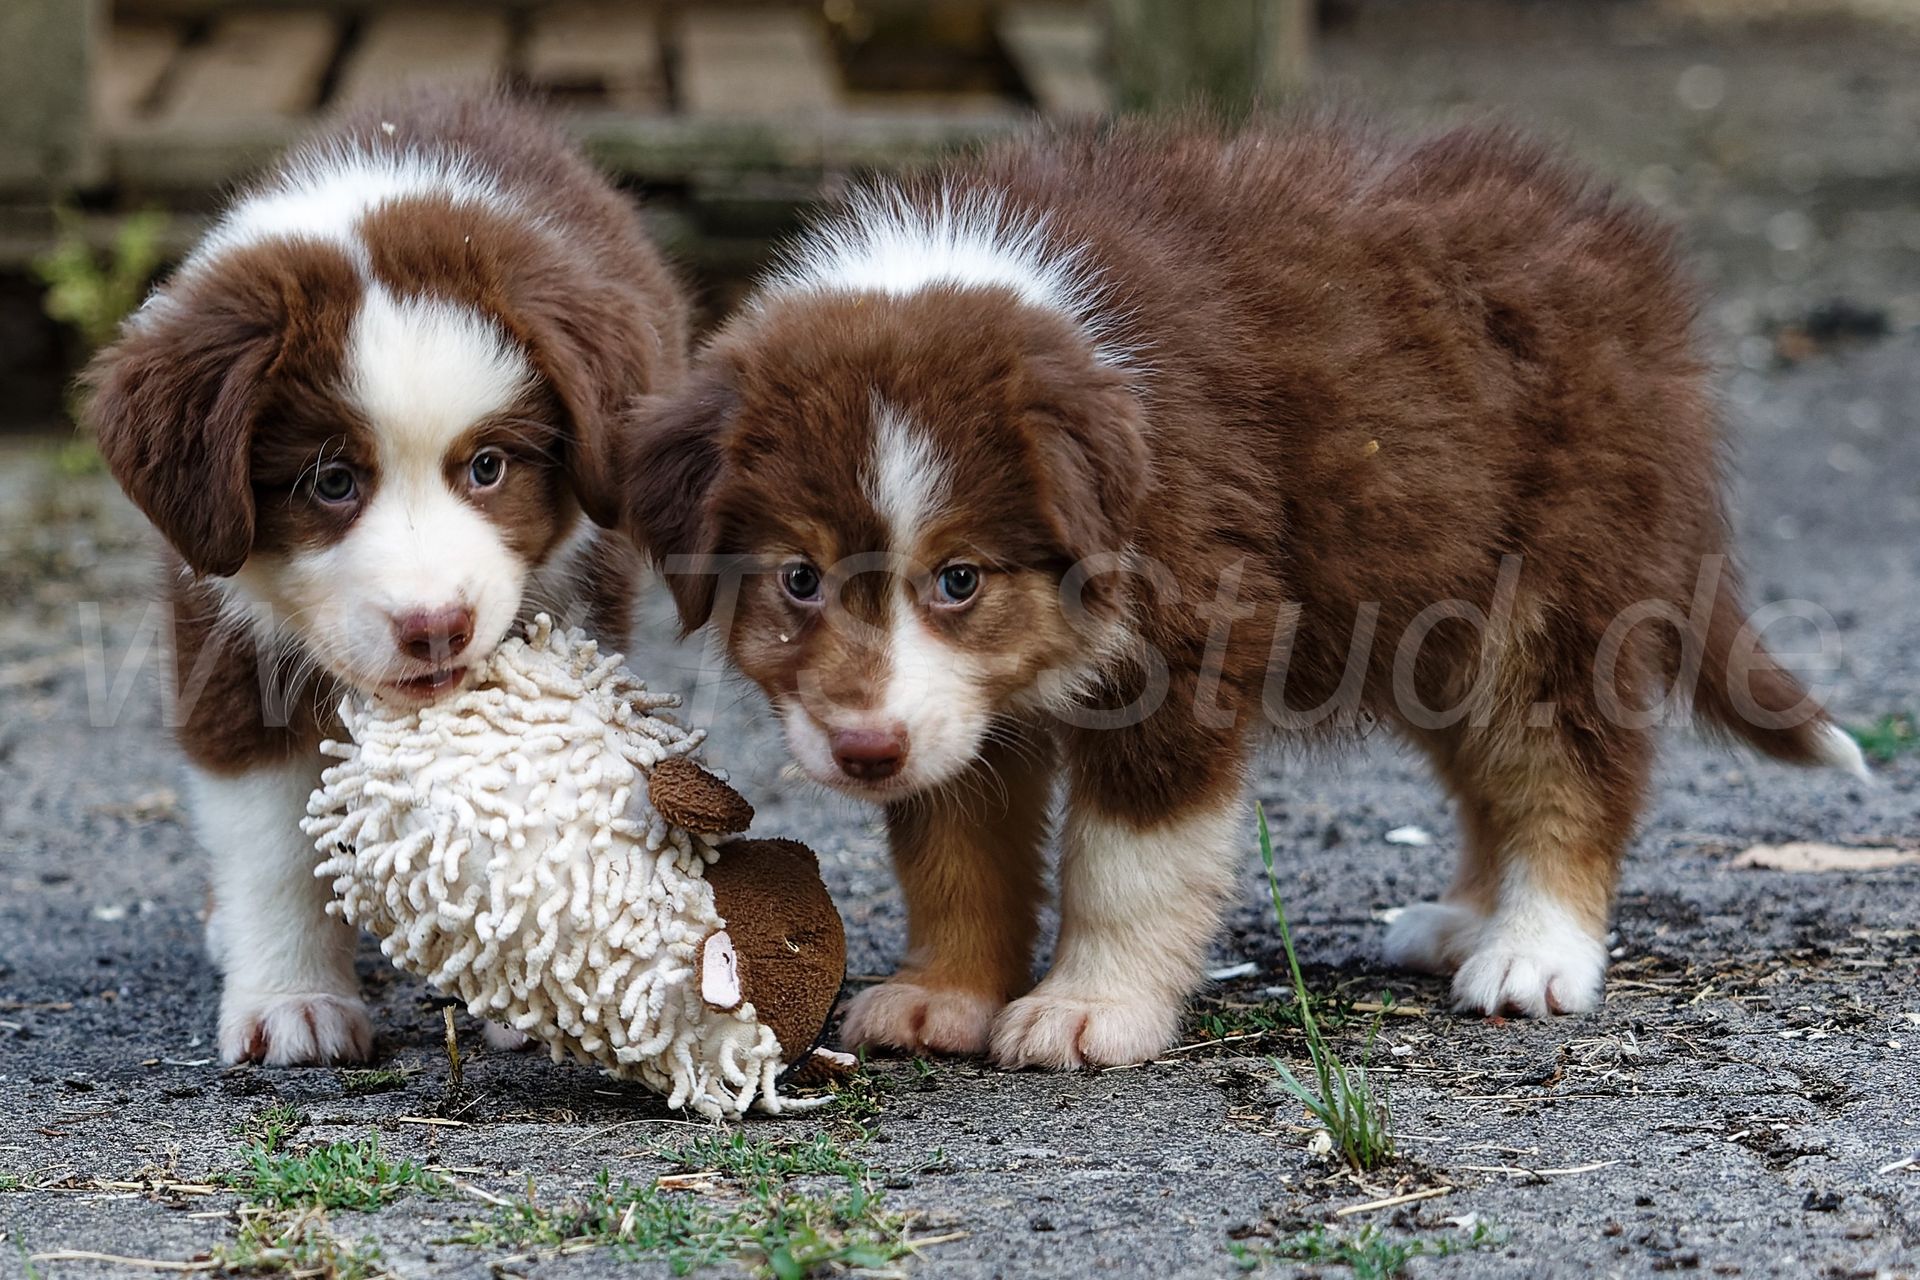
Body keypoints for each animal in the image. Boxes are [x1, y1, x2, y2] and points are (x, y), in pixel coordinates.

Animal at [88, 91, 686, 1065]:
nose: (435, 626)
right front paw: (292, 1001)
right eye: (332, 482)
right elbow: (270, 844)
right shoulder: (221, 627)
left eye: (487, 466)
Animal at [621, 117, 1867, 1070]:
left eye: (960, 577)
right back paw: (1467, 918)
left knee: (1567, 773)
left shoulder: (1182, 647)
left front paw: (1089, 1008)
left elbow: (1126, 862)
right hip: (1435, 603)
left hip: (1558, 589)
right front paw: (945, 992)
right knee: (1489, 775)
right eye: (798, 578)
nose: (864, 750)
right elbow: (954, 847)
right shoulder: (956, 712)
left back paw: (1533, 949)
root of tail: (1633, 272)